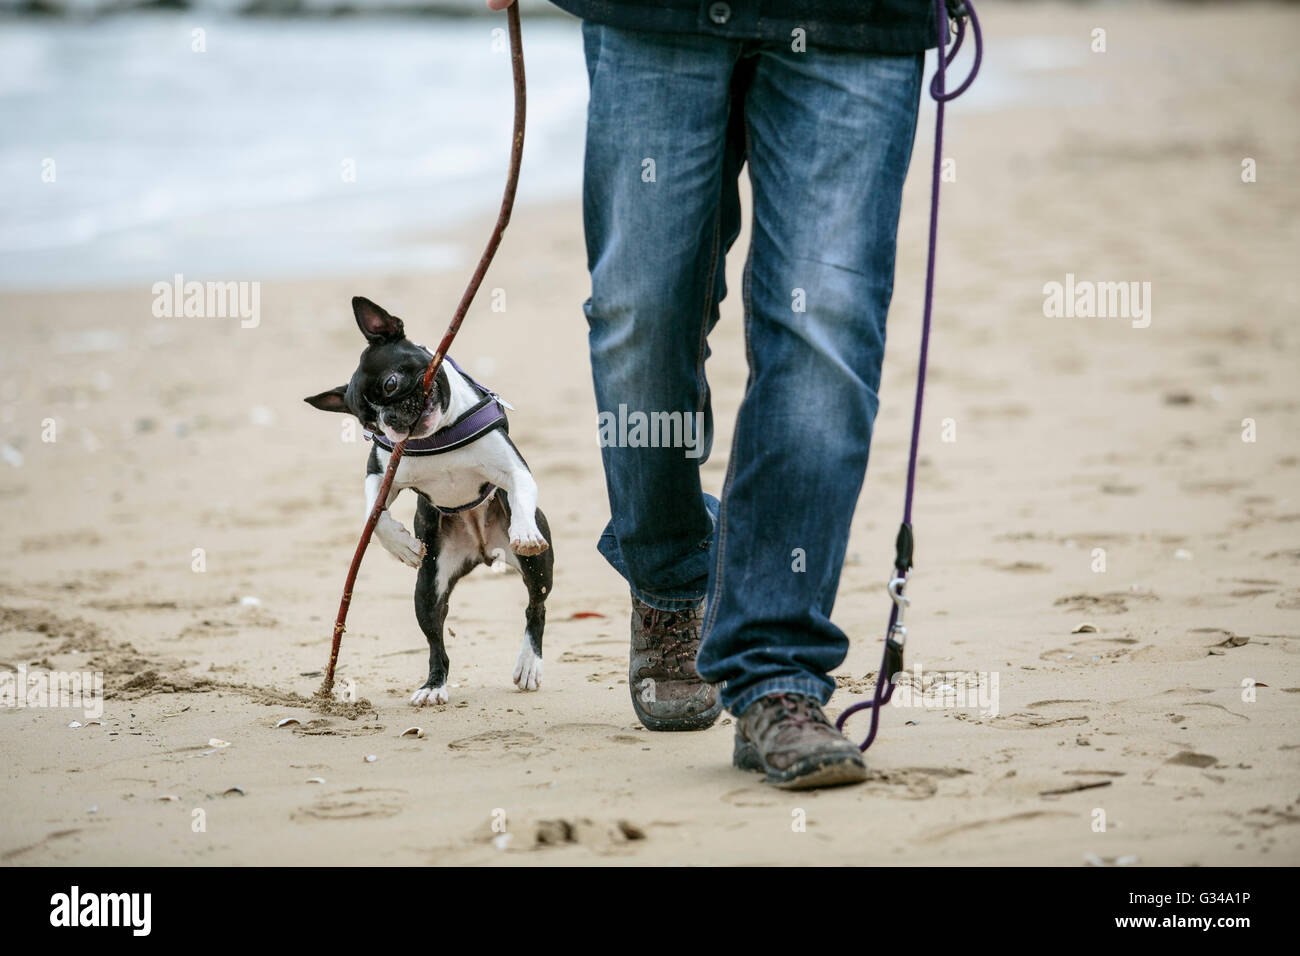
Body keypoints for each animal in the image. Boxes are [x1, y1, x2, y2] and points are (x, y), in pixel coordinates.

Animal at [308, 299, 553, 712]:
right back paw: (433, 686)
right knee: (435, 638)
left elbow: (520, 491)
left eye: (391, 384)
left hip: (538, 569)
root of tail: (482, 551)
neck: (438, 436)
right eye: (367, 423)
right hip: (428, 587)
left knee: (535, 607)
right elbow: (373, 512)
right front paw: (401, 544)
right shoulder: (380, 472)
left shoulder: (514, 469)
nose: (388, 419)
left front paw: (523, 530)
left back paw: (529, 664)